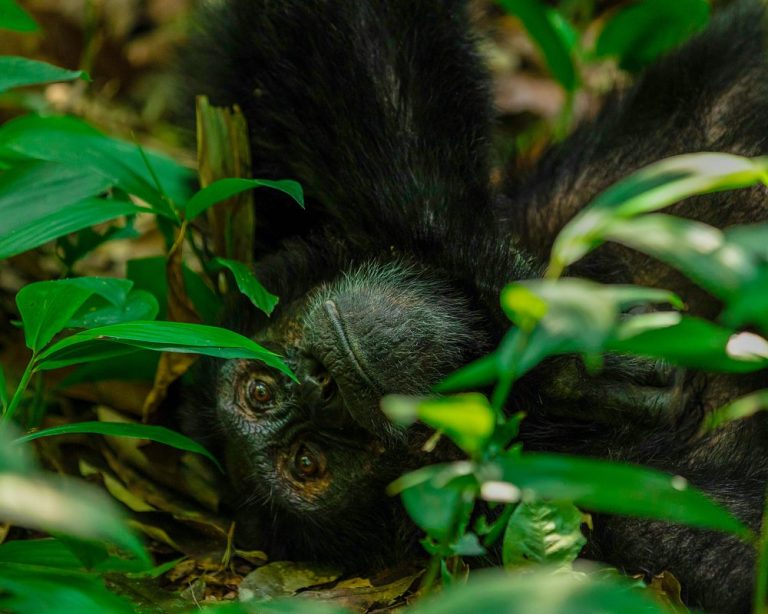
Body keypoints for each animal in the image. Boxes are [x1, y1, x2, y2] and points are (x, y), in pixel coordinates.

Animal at [178, 1, 768, 612]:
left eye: (258, 392)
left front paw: (537, 333)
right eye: (307, 462)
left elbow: (355, 50)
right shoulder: (637, 517)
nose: (322, 384)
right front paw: (551, 365)